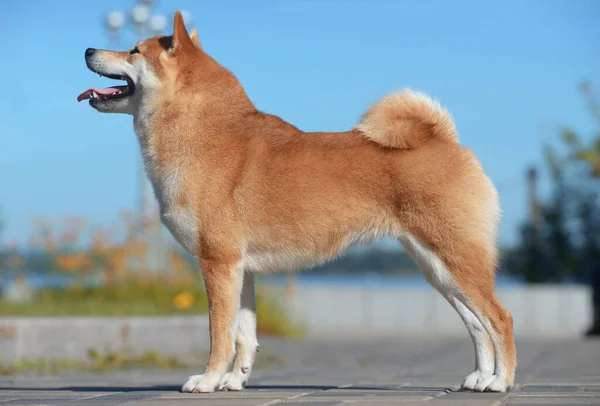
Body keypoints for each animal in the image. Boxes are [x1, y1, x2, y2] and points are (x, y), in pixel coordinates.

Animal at [78, 11, 516, 394]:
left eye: (133, 50)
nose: (87, 49)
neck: (202, 132)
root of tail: (446, 141)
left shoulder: (218, 262)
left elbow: (219, 335)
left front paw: (207, 380)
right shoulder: (242, 270)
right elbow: (244, 335)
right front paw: (233, 381)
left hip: (456, 259)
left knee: (501, 318)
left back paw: (500, 382)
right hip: (437, 269)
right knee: (477, 324)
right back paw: (479, 377)